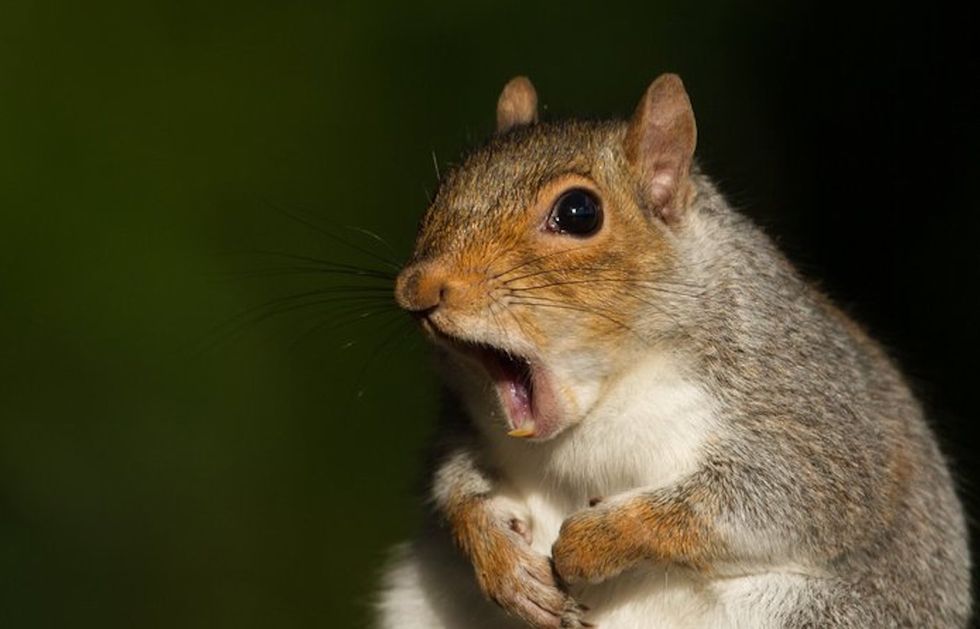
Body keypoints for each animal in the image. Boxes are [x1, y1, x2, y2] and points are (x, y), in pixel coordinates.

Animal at [374, 74, 972, 628]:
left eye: (579, 212)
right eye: (441, 190)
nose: (418, 288)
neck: (600, 405)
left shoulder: (810, 413)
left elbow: (770, 500)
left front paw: (595, 541)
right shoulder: (466, 424)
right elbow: (456, 483)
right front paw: (500, 559)